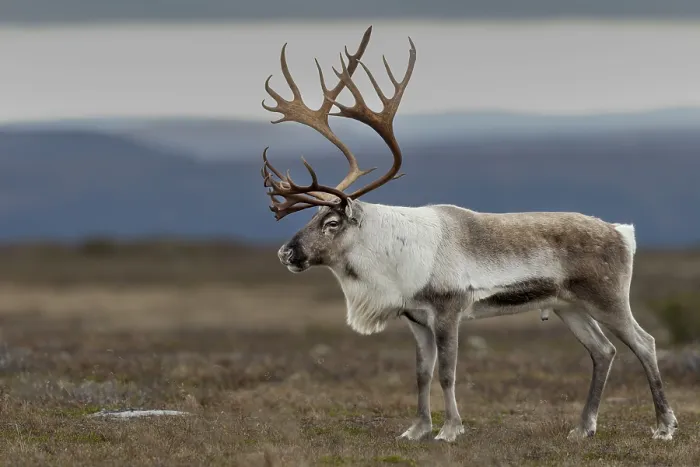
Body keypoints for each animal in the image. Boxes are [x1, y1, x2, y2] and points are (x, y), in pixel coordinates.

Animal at [259, 25, 678, 442]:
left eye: (332, 222)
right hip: (569, 306)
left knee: (644, 343)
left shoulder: (449, 312)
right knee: (603, 351)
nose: (287, 253)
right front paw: (417, 429)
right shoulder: (416, 320)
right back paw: (583, 427)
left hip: (607, 298)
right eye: (313, 215)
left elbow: (448, 373)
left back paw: (664, 425)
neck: (394, 256)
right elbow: (421, 374)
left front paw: (450, 429)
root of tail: (622, 233)